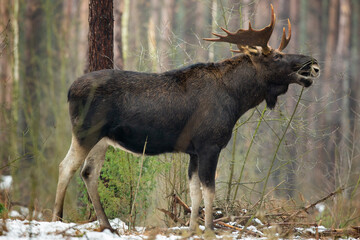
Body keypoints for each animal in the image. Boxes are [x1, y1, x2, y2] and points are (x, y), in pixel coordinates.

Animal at [52, 5, 318, 232]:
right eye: (276, 56)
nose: (312, 63)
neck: (237, 100)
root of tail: (69, 90)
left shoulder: (193, 150)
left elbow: (193, 192)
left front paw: (192, 229)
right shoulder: (210, 144)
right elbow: (209, 190)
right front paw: (209, 229)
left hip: (103, 139)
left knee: (88, 172)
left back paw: (107, 225)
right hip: (86, 131)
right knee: (66, 166)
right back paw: (57, 219)